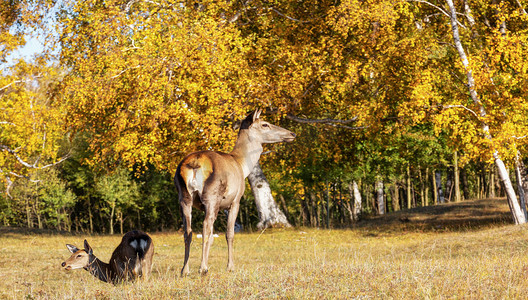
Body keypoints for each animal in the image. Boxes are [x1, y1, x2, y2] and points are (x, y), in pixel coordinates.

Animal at [174, 109, 294, 276]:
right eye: (265, 124)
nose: (291, 133)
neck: (242, 164)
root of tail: (194, 163)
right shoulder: (236, 200)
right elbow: (229, 233)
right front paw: (230, 266)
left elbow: (212, 236)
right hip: (212, 195)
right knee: (205, 226)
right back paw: (202, 268)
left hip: (184, 196)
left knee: (188, 230)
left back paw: (185, 270)